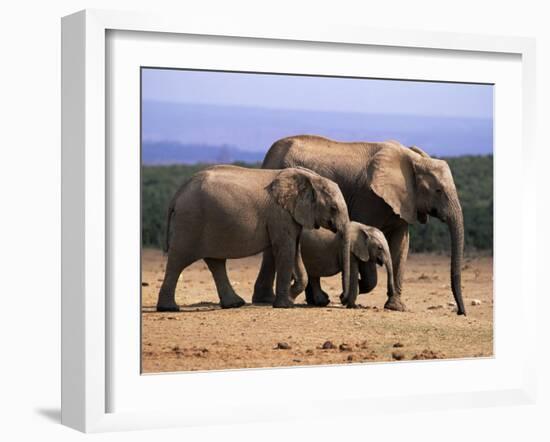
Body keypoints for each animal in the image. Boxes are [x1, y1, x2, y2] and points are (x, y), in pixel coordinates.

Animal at [157, 164, 352, 312]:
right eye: (334, 208)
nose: (342, 298)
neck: (310, 178)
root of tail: (179, 192)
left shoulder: (291, 215)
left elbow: (295, 249)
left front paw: (290, 296)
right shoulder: (280, 214)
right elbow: (286, 249)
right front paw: (285, 305)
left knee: (215, 262)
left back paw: (234, 304)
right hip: (190, 222)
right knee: (178, 259)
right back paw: (169, 308)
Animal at [252, 135, 468, 314]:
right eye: (439, 191)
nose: (460, 312)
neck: (412, 160)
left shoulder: (404, 202)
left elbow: (401, 245)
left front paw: (396, 307)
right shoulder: (369, 197)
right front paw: (351, 289)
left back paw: (316, 301)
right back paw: (268, 300)